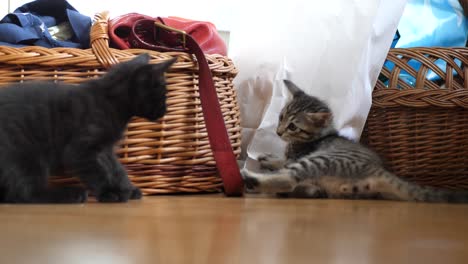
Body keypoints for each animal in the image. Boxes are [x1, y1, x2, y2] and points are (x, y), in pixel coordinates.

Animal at [0, 52, 176, 203]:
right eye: (163, 94)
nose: (165, 111)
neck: (110, 101)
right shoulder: (81, 149)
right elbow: (97, 172)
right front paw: (110, 193)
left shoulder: (105, 148)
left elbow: (116, 169)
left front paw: (128, 188)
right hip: (26, 153)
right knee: (23, 192)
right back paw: (71, 194)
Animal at [241, 79, 468, 203]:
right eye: (281, 117)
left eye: (293, 127)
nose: (278, 132)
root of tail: (379, 169)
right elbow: (281, 159)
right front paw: (268, 157)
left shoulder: (297, 157)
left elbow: (285, 162)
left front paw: (269, 159)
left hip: (320, 161)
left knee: (288, 179)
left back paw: (249, 177)